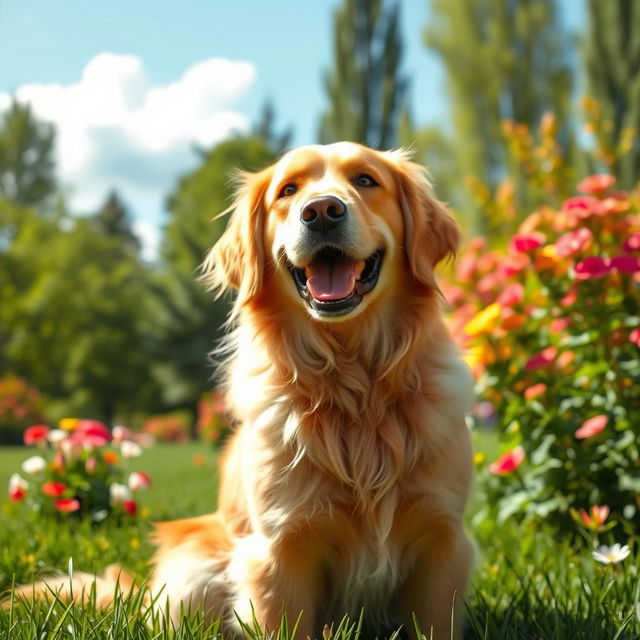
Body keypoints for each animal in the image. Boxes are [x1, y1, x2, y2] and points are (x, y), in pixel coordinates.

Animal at [8, 144, 476, 640]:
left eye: (366, 180)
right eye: (288, 190)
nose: (321, 212)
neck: (354, 384)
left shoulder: (443, 538)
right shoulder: (279, 546)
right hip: (193, 571)